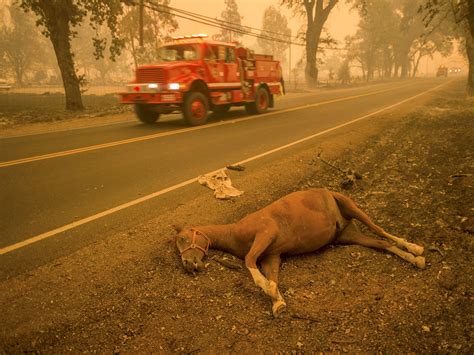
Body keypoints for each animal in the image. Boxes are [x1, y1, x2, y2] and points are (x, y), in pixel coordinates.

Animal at [174, 189, 426, 318]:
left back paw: (416, 249)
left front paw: (268, 289)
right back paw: (415, 260)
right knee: (381, 243)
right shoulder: (271, 256)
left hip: (353, 209)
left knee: (381, 231)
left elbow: (249, 261)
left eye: (183, 239)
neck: (235, 231)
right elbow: (272, 275)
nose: (187, 264)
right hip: (349, 235)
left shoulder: (265, 233)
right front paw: (277, 301)